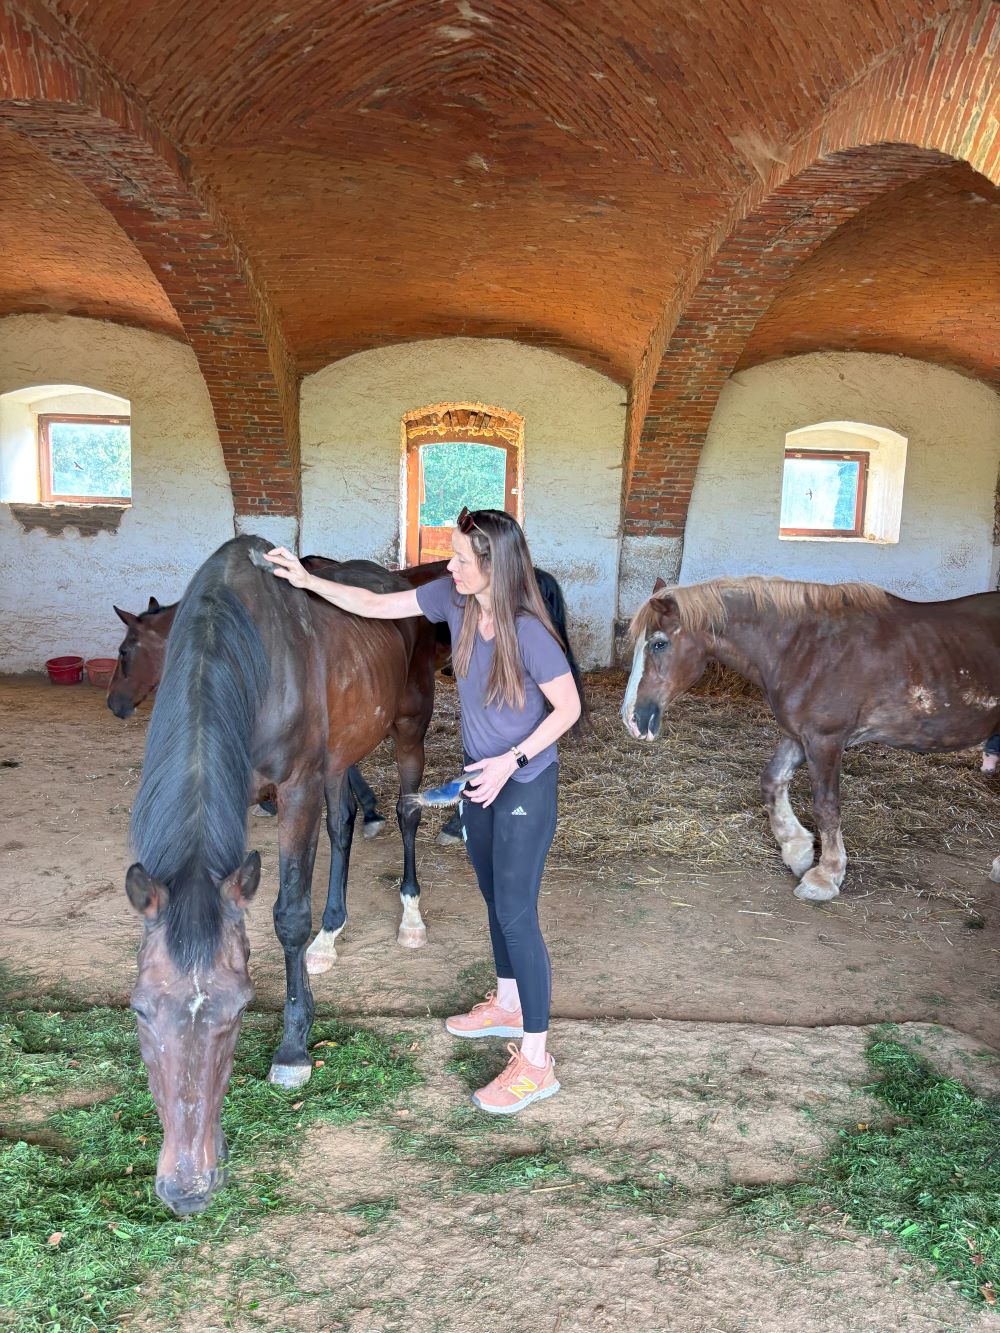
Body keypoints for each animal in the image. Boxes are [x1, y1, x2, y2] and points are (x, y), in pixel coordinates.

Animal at [125, 535, 436, 1214]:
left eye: (242, 1008)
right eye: (139, 1011)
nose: (188, 1188)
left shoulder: (294, 789)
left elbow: (287, 913)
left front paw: (294, 1044)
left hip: (406, 729)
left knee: (405, 813)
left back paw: (410, 917)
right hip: (341, 755)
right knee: (344, 824)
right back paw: (331, 935)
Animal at [622, 575, 1000, 901]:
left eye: (659, 643)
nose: (631, 719)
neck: (806, 648)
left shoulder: (826, 739)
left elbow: (826, 807)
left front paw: (825, 876)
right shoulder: (798, 735)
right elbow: (772, 782)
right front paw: (799, 851)